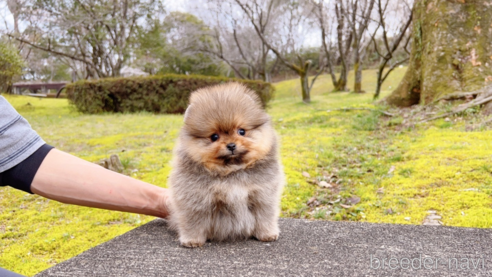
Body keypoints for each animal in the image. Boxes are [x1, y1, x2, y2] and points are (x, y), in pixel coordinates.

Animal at [168, 82, 284, 248]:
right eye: (214, 137)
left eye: (241, 131)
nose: (231, 145)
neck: (232, 171)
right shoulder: (195, 199)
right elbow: (194, 221)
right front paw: (192, 240)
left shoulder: (263, 195)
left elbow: (264, 216)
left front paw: (267, 234)